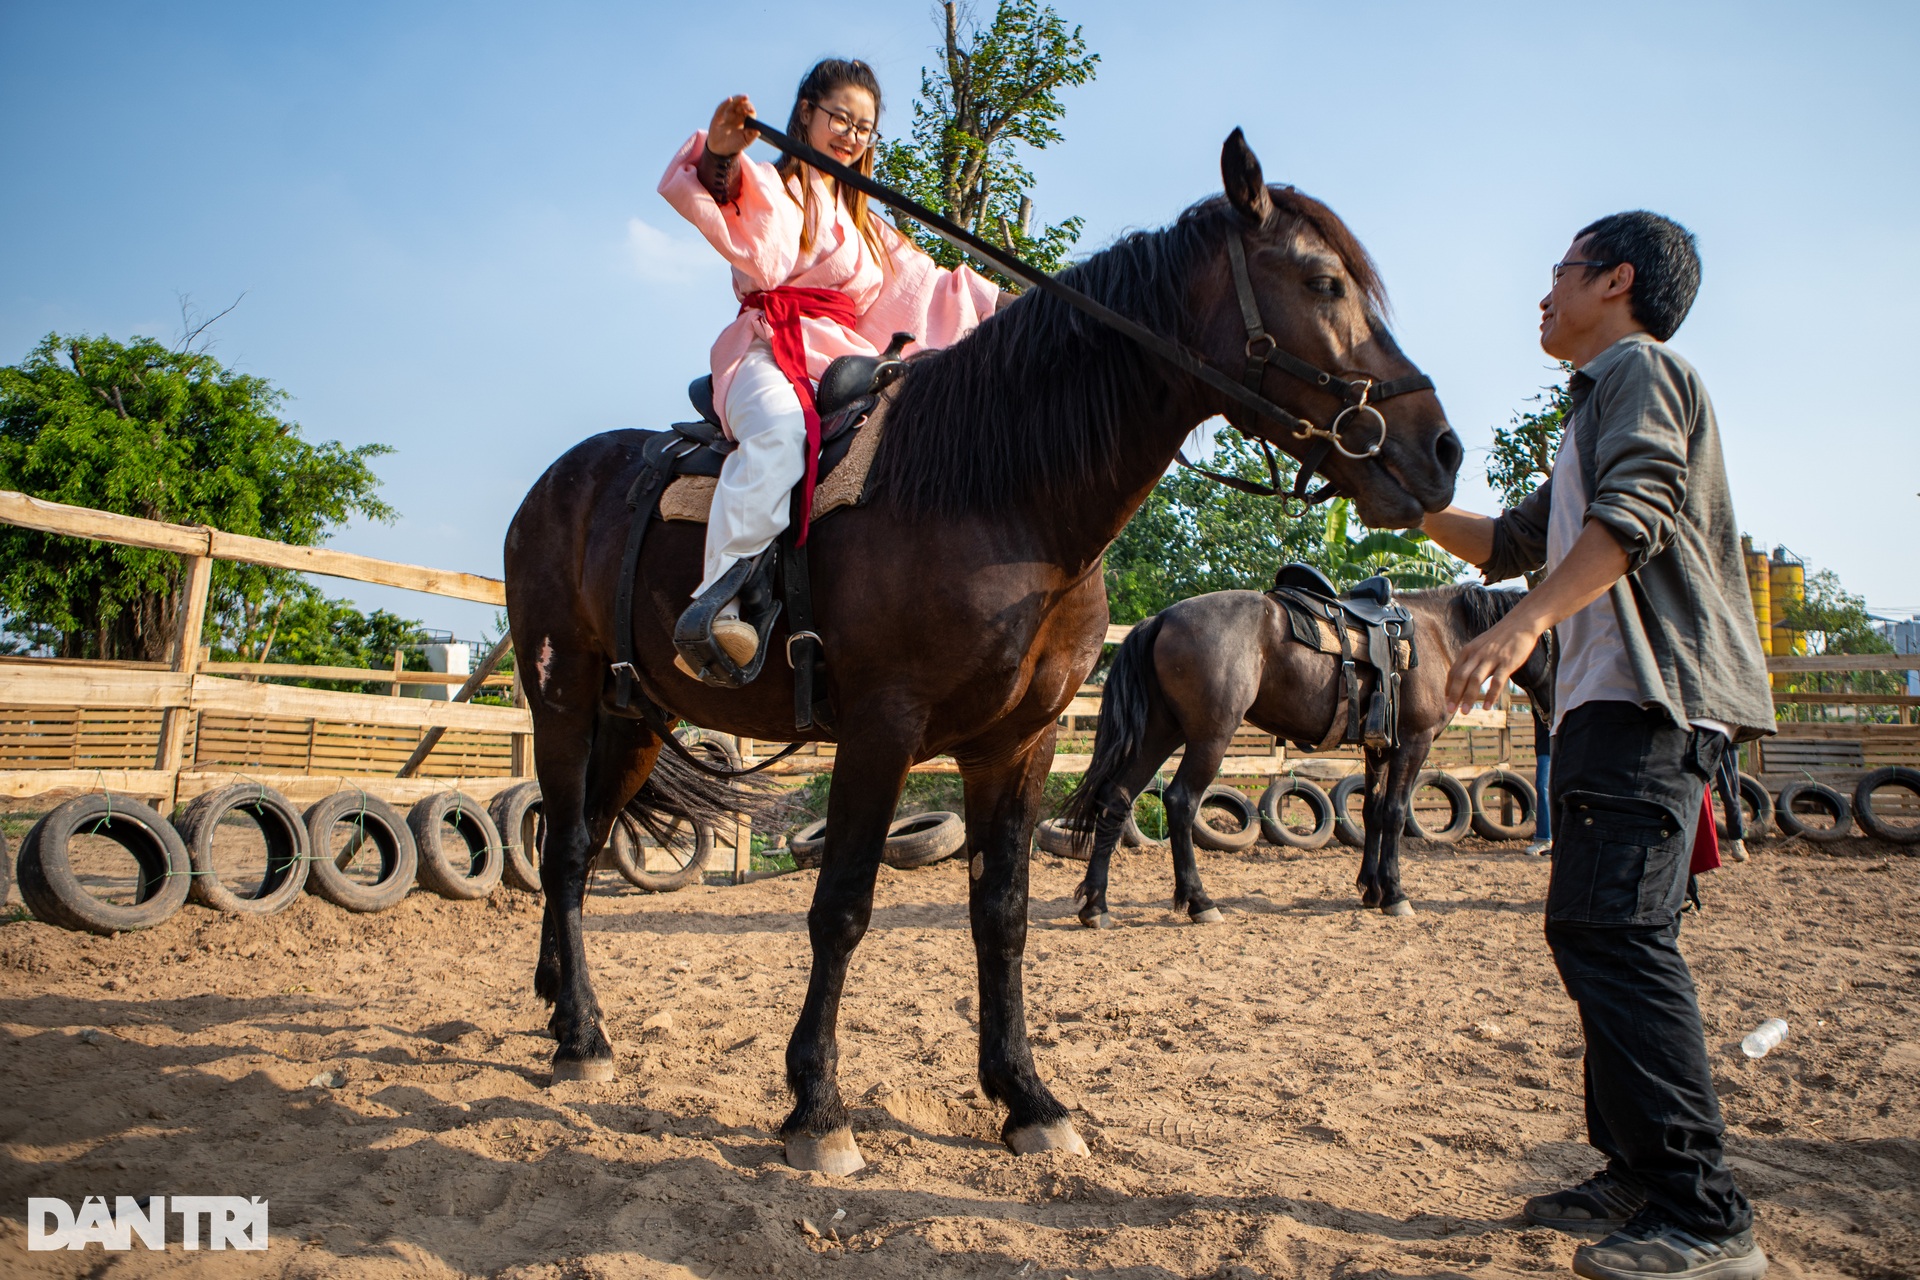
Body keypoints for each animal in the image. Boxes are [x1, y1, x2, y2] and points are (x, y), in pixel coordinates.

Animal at [503, 135, 1459, 1174]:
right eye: (1324, 281)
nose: (1442, 452)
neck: (997, 495)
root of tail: (558, 482)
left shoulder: (1017, 743)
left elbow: (1001, 913)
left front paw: (1026, 1096)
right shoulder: (880, 731)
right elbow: (842, 907)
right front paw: (818, 1107)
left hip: (636, 715)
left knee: (581, 847)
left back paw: (561, 1002)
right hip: (562, 697)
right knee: (565, 851)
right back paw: (580, 1035)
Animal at [1067, 587, 1559, 924]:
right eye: (1556, 643)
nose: (1553, 707)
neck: (1438, 636)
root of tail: (1163, 617)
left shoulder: (1380, 749)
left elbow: (1374, 813)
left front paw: (1370, 889)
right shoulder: (1414, 742)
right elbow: (1397, 813)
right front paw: (1395, 894)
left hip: (1159, 732)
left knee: (1116, 798)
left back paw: (1096, 905)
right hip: (1210, 737)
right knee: (1181, 802)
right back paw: (1200, 902)